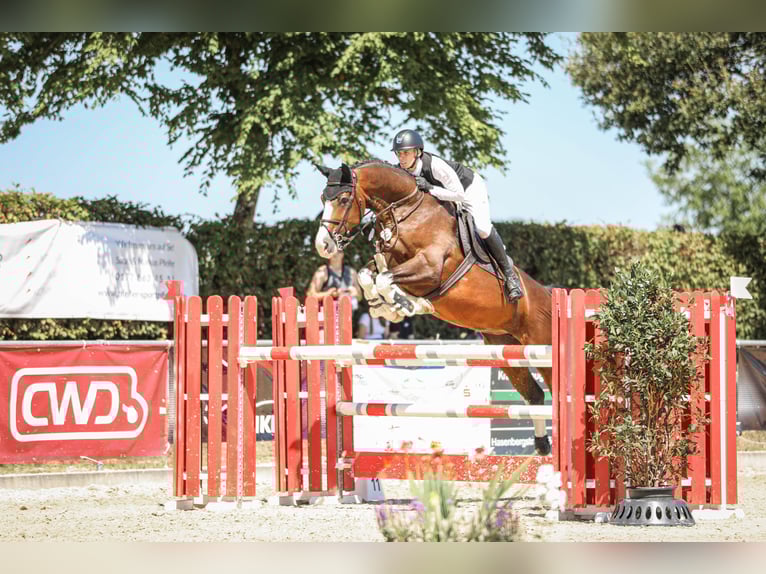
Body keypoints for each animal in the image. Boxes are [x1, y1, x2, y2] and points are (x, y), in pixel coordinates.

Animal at [314, 159, 554, 455]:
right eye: (323, 198)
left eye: (344, 199)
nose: (322, 245)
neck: (406, 212)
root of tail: (551, 296)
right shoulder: (390, 261)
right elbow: (367, 275)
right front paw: (387, 306)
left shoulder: (429, 266)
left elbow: (384, 278)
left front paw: (403, 304)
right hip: (505, 348)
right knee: (534, 394)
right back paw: (542, 446)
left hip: (542, 346)